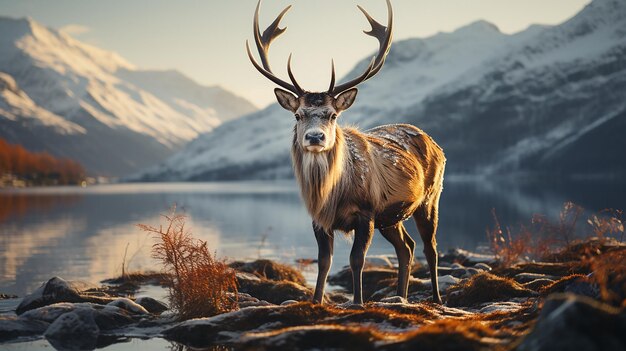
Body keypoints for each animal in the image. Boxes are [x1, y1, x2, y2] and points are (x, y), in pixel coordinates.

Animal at [246, 0, 446, 306]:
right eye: (298, 114)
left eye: (332, 115)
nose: (315, 137)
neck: (332, 195)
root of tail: (435, 143)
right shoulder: (319, 219)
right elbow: (324, 261)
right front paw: (317, 301)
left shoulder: (367, 212)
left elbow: (356, 260)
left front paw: (358, 301)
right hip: (391, 217)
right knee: (407, 247)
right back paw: (400, 297)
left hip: (430, 198)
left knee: (430, 247)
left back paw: (436, 298)